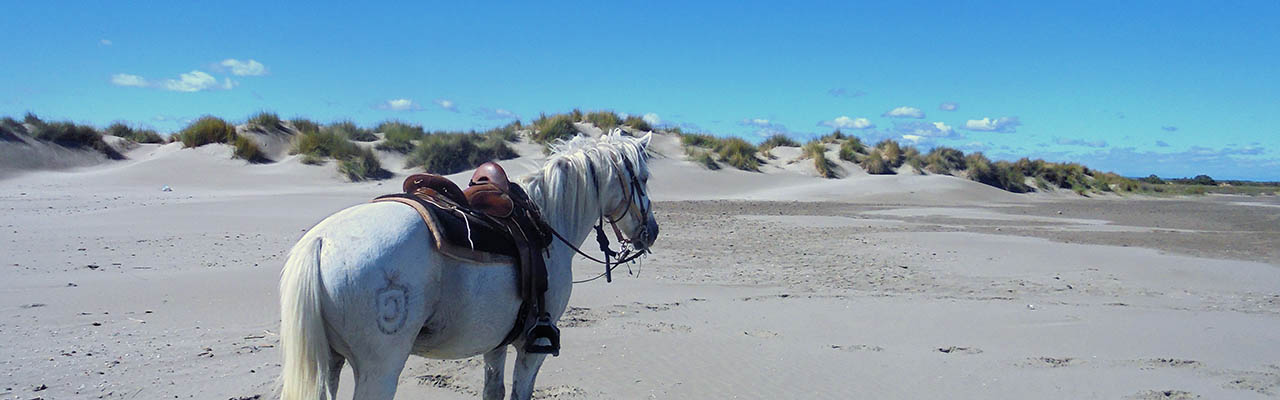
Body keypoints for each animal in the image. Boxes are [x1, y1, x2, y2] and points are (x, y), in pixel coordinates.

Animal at [280, 132, 660, 400]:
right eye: (642, 178)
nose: (652, 232)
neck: (547, 221)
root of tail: (320, 243)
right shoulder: (532, 347)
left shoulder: (496, 344)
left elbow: (494, 391)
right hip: (380, 368)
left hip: (330, 363)